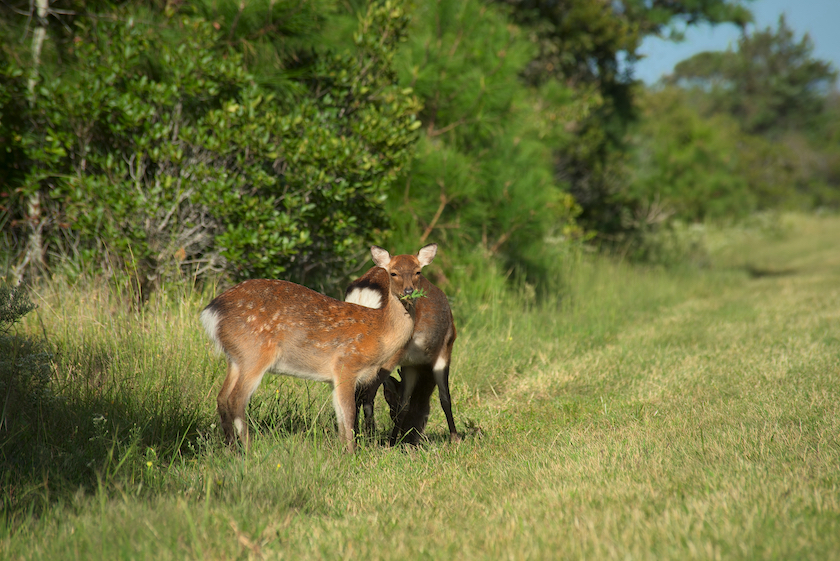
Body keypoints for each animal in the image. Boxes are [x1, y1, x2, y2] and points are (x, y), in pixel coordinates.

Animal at [199, 244, 436, 450]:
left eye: (417, 271)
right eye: (393, 273)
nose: (409, 291)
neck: (379, 332)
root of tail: (212, 312)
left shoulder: (335, 377)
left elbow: (340, 418)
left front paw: (343, 450)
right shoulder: (346, 364)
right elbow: (349, 414)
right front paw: (352, 453)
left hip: (235, 358)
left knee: (222, 398)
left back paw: (231, 447)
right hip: (254, 353)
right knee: (236, 400)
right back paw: (249, 450)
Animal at [344, 247, 460, 444]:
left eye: (390, 406)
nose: (414, 434)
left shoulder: (409, 364)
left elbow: (404, 404)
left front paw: (393, 441)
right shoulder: (445, 348)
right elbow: (445, 397)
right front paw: (455, 438)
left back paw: (357, 435)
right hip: (389, 353)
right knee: (367, 392)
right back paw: (370, 436)